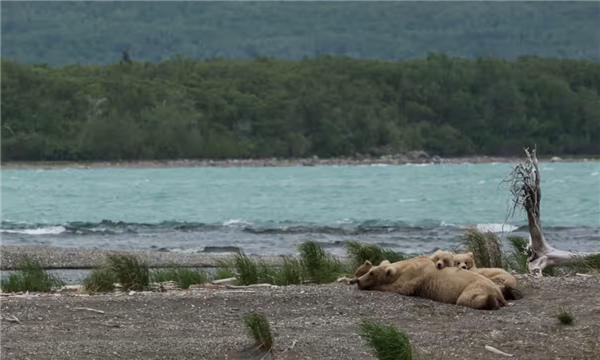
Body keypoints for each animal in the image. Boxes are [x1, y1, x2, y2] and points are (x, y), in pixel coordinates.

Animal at [352, 256, 516, 310]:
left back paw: (491, 301)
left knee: (466, 298)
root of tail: (499, 293)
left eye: (372, 273)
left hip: (477, 285)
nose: (359, 281)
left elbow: (400, 287)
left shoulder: (415, 276)